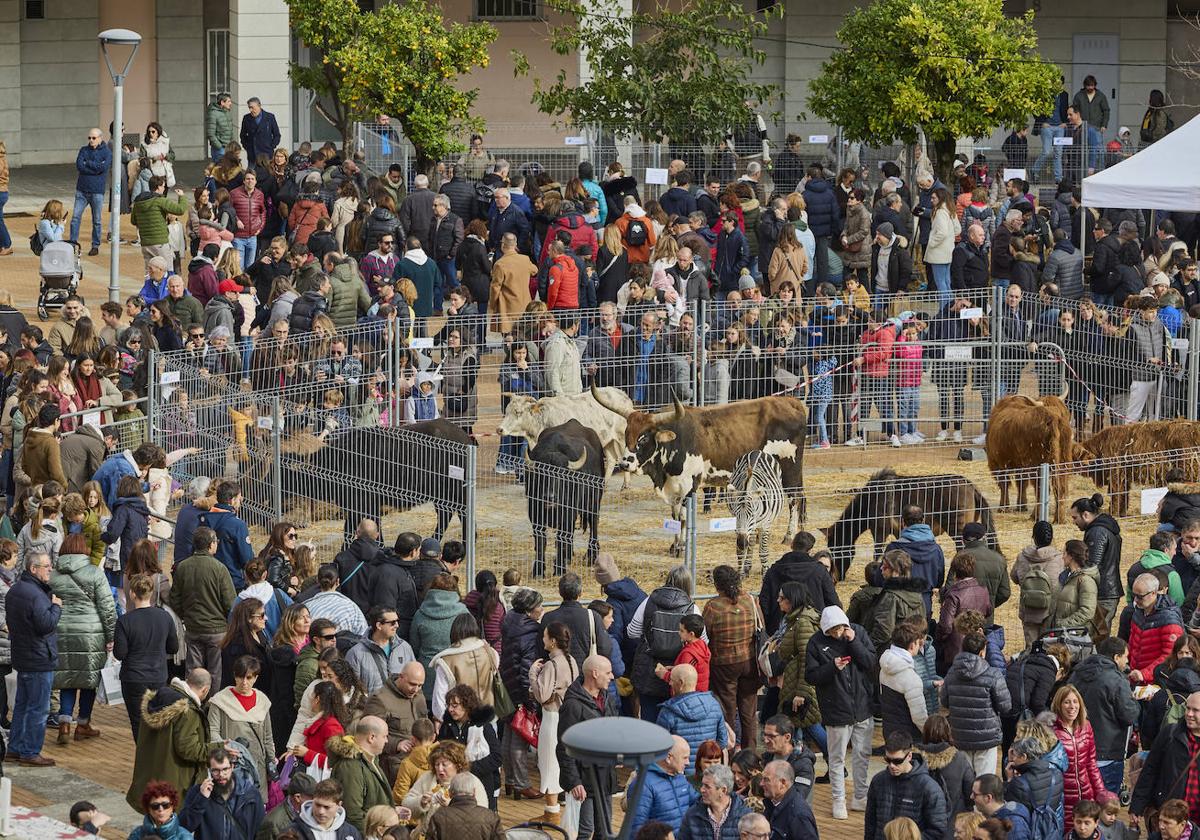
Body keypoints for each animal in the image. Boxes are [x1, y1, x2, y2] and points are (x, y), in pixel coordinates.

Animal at [494, 388, 633, 482]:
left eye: (518, 412)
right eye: (506, 411)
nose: (499, 429)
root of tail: (623, 394)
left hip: (621, 438)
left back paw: (625, 485)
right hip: (608, 441)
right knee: (611, 459)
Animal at [988, 391, 1075, 520]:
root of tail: (1054, 419)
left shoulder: (997, 463)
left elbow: (1005, 484)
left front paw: (1004, 507)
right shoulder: (1021, 465)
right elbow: (1021, 483)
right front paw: (1021, 506)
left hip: (1037, 465)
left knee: (1041, 489)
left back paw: (1035, 516)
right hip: (1063, 461)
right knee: (1060, 487)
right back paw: (1059, 518)